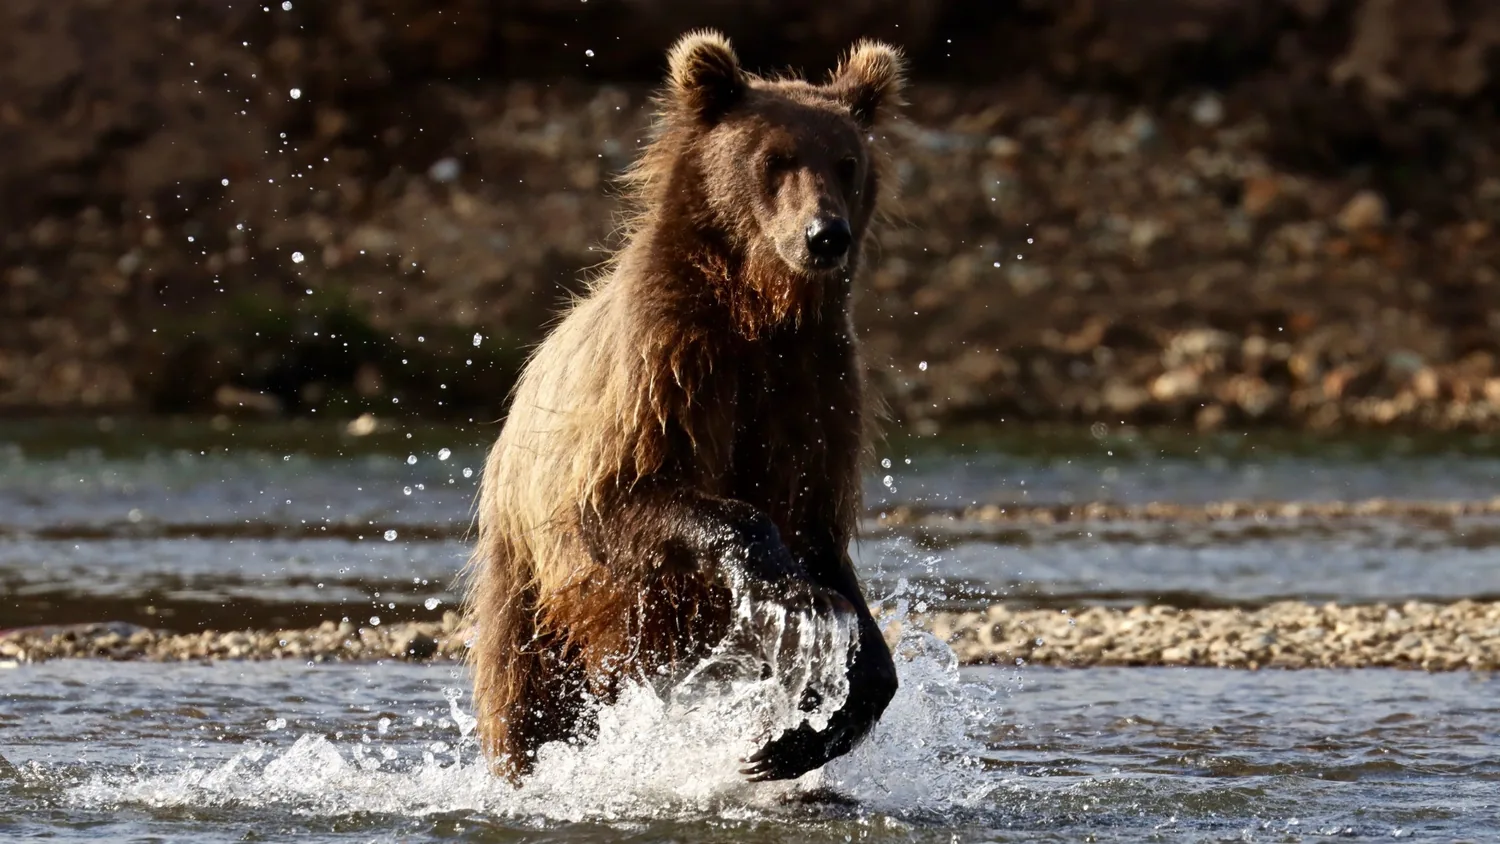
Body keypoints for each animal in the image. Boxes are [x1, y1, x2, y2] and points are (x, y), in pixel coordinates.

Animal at [461, 29, 905, 785]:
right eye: (775, 159)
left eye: (848, 163)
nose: (825, 236)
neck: (760, 311)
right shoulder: (665, 372)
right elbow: (633, 497)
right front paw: (798, 595)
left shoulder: (815, 391)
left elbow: (822, 538)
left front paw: (800, 731)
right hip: (531, 586)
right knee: (527, 699)